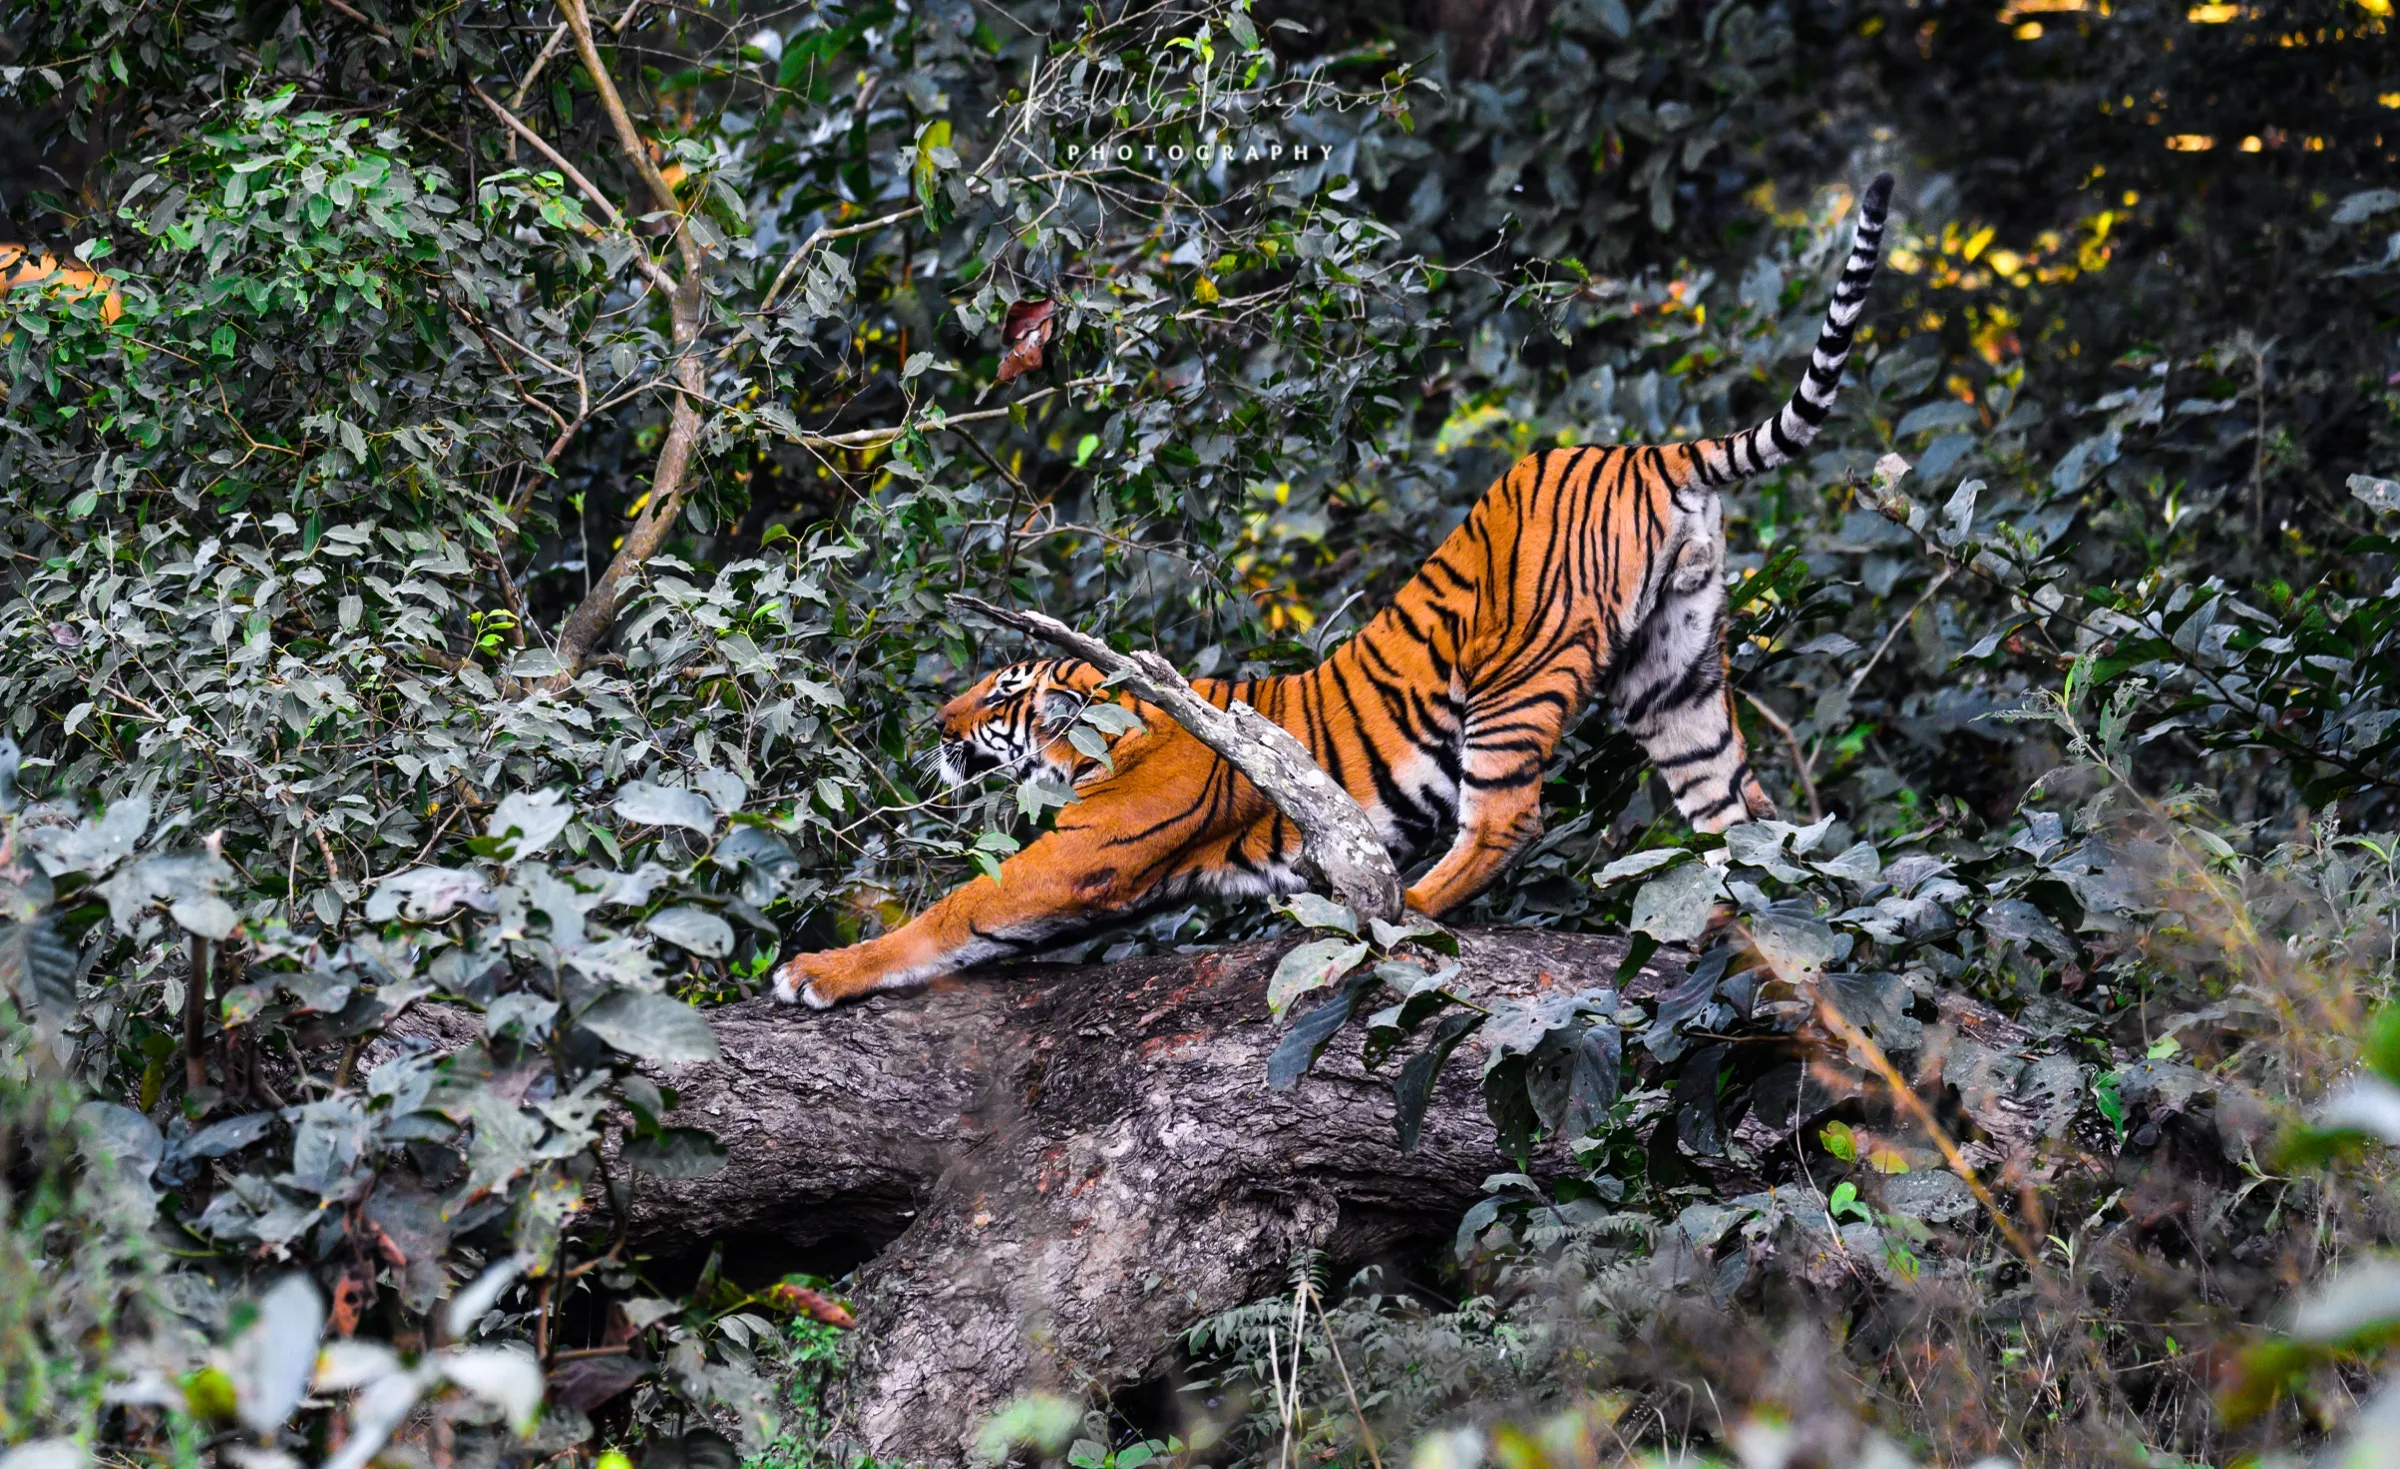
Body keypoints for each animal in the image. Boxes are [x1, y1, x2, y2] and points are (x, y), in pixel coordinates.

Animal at [774, 173, 1893, 1009]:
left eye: (1000, 694)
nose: (934, 722)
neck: (1106, 737)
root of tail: (1643, 450)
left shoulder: (1081, 854)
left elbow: (953, 910)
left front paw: (813, 971)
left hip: (1518, 673)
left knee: (1508, 816)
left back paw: (1402, 912)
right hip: (1675, 675)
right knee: (1738, 811)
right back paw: (1764, 916)